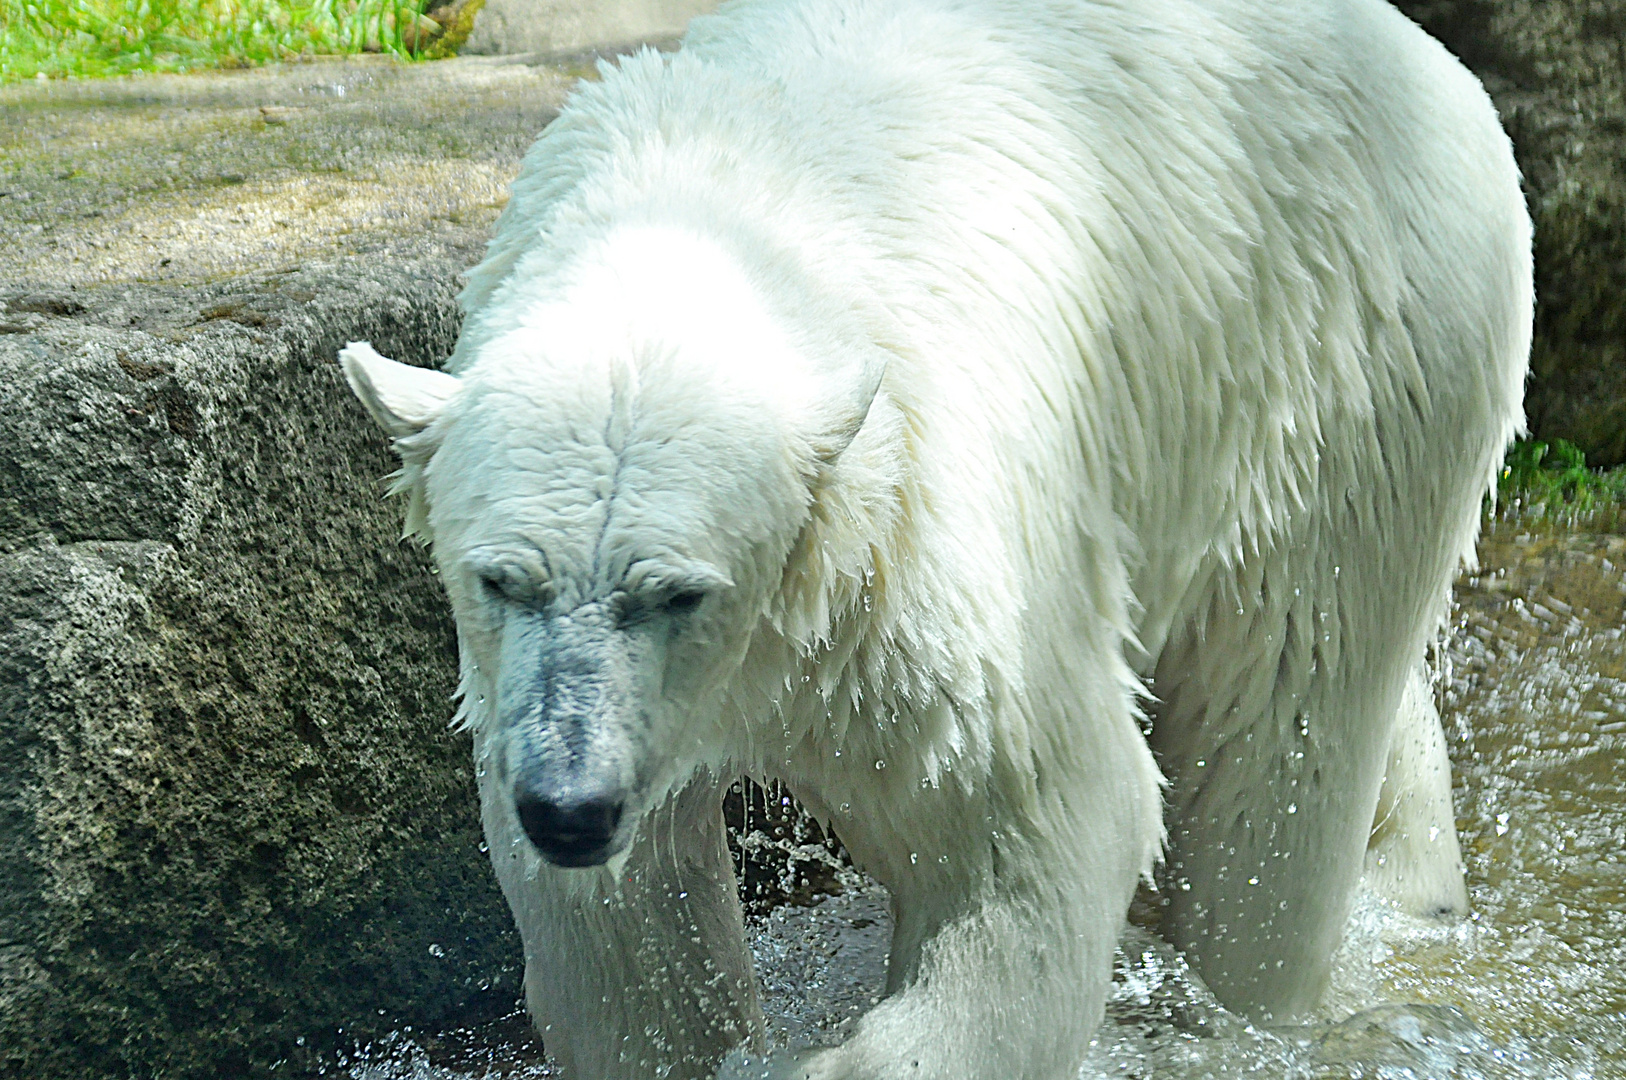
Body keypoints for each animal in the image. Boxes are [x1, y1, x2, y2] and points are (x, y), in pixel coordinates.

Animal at [339, 2, 1521, 1080]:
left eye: (678, 592)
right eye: (501, 580)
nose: (571, 808)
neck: (714, 214)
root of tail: (1433, 64)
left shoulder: (922, 551)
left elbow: (1040, 824)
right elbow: (628, 920)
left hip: (1345, 354)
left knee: (1281, 728)